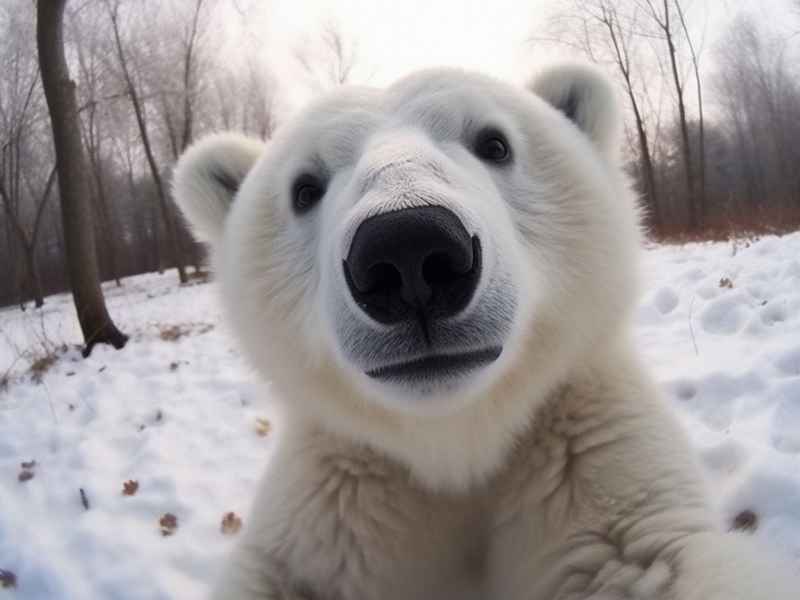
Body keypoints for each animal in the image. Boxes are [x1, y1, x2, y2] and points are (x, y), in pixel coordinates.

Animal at [173, 64, 798, 599]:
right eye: (304, 188)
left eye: (494, 143)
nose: (407, 250)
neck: (459, 440)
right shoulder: (340, 497)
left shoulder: (584, 449)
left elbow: (647, 560)